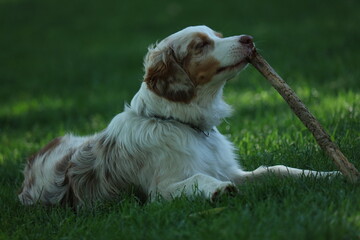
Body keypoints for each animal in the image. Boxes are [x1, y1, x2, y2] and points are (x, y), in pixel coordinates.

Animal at [17, 25, 338, 207]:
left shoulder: (233, 170)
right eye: (200, 45)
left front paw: (328, 175)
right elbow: (199, 177)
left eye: (219, 37)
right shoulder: (161, 191)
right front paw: (219, 190)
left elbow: (277, 169)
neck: (184, 125)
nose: (248, 39)